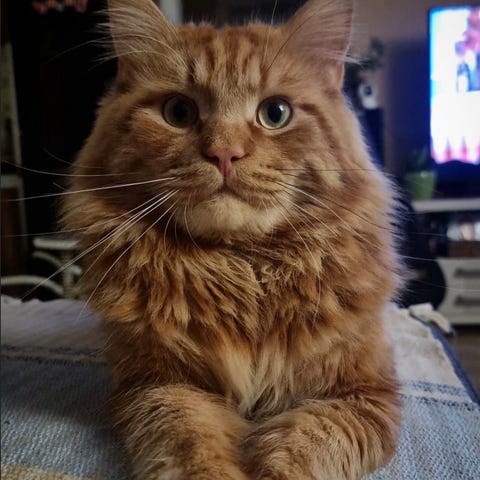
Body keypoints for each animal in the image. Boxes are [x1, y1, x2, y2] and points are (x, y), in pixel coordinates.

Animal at [62, 0, 402, 478]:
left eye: (275, 113)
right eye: (179, 112)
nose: (224, 153)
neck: (240, 267)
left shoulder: (365, 395)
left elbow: (304, 447)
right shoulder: (156, 387)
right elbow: (191, 443)